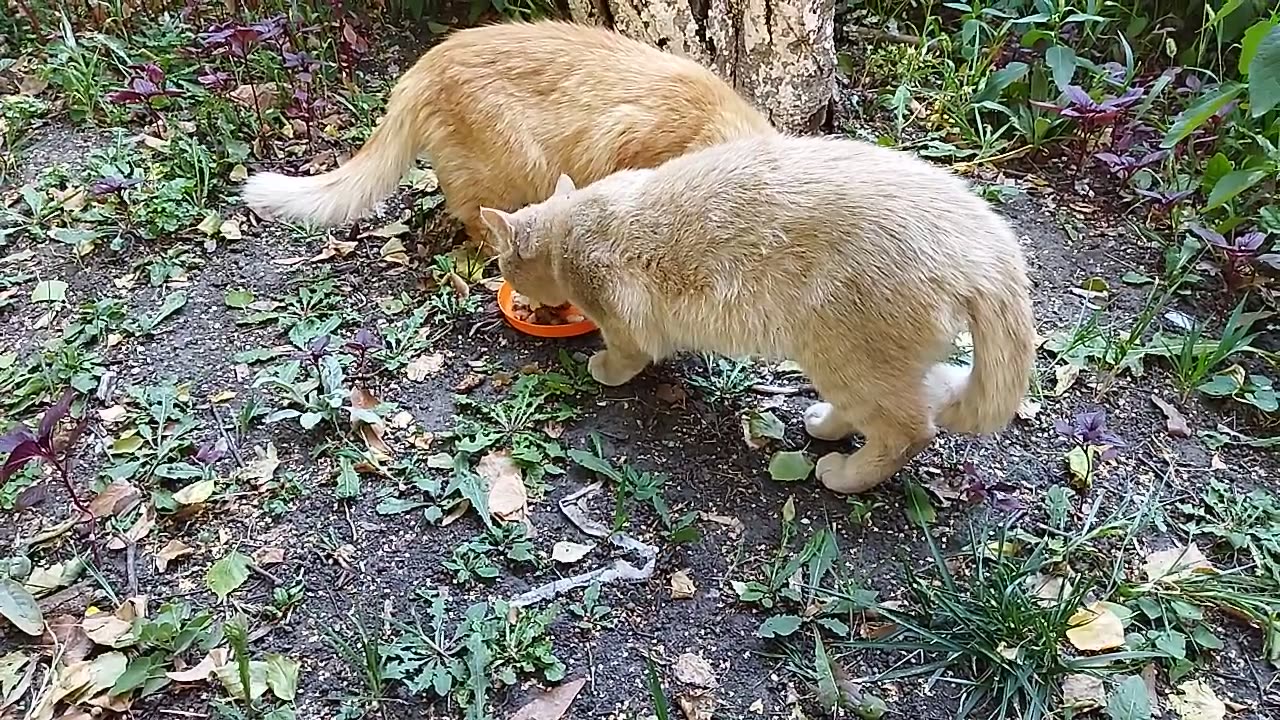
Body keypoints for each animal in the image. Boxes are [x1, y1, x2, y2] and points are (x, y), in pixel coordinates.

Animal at [481, 133, 1039, 491]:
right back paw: (825, 425)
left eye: (506, 267)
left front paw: (602, 368)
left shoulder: (624, 320)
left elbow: (624, 353)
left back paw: (845, 475)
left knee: (909, 430)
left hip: (842, 356)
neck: (574, 225)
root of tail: (987, 243)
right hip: (849, 364)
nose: (517, 289)